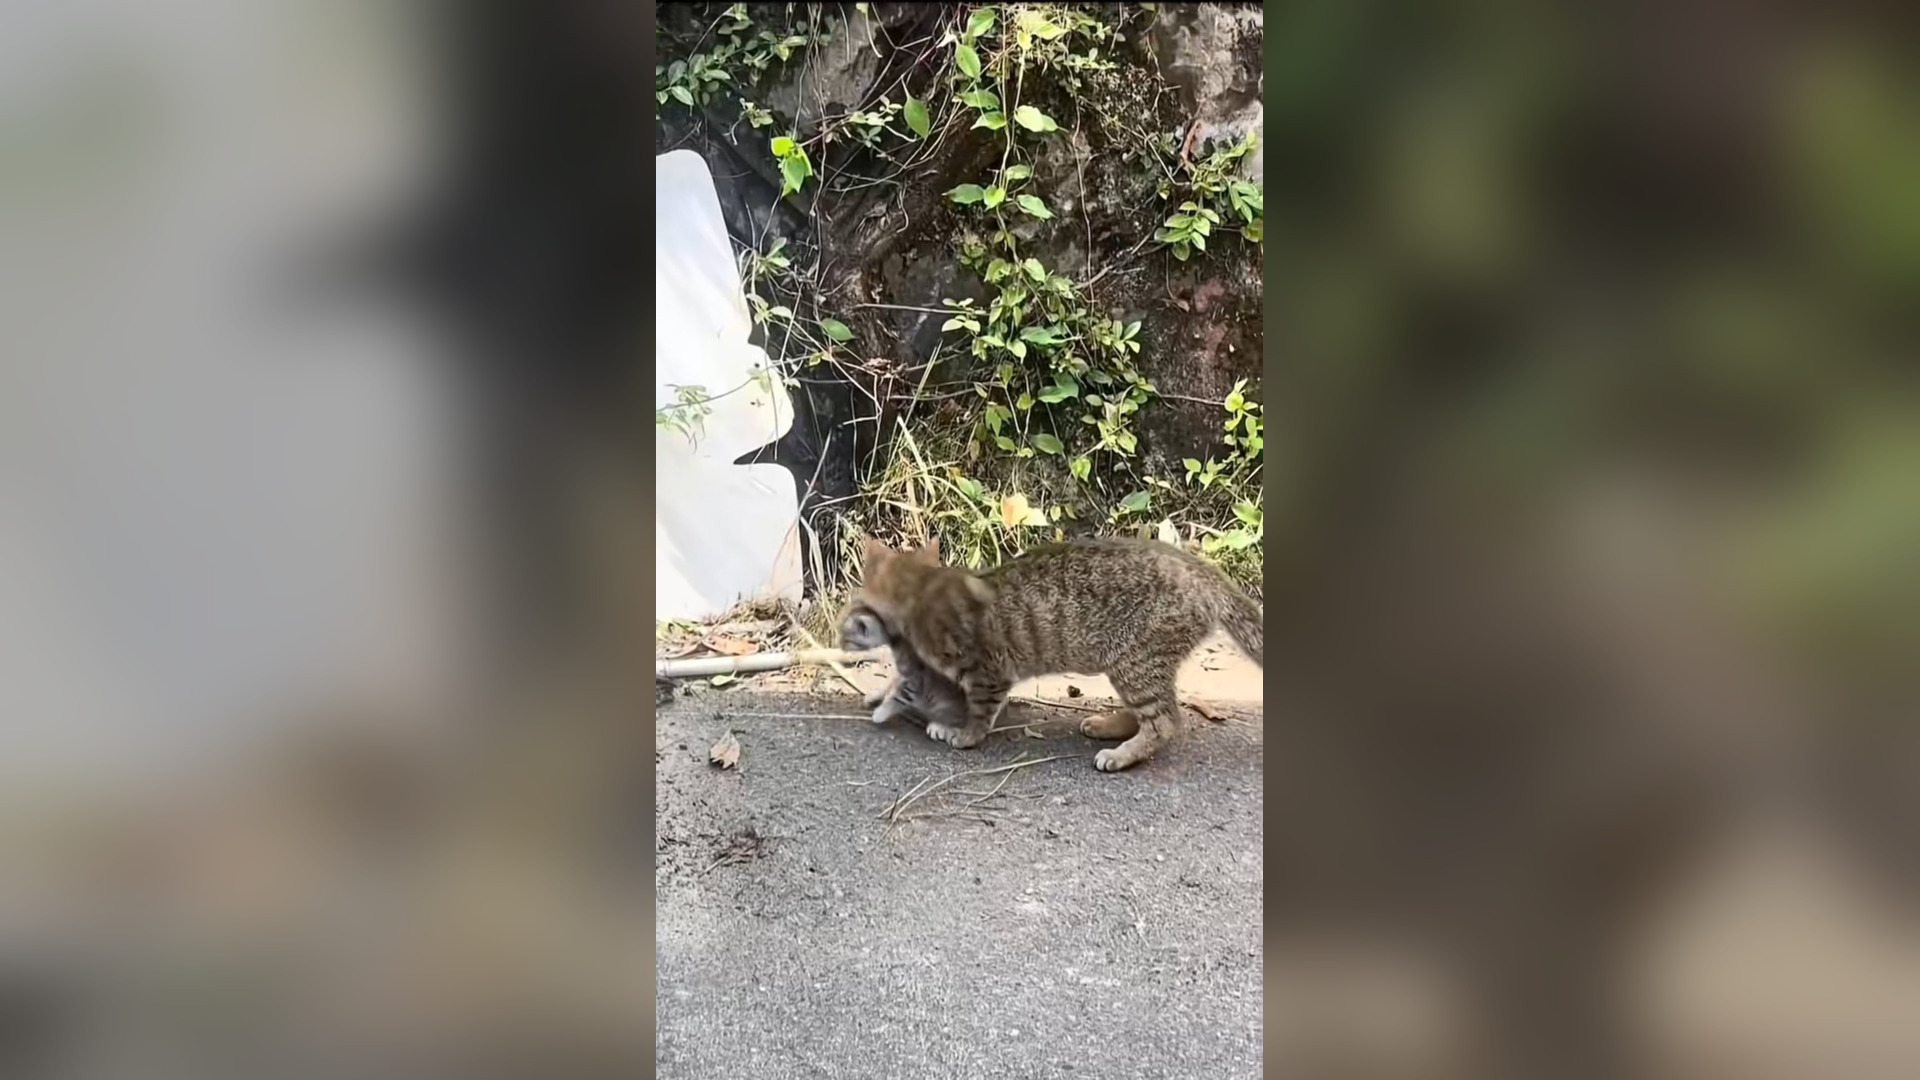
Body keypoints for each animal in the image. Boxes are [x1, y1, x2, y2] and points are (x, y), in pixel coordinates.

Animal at [844, 534, 1263, 771]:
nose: (843, 631)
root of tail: (1204, 571)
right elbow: (904, 679)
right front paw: (881, 693)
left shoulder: (987, 672)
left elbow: (979, 714)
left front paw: (962, 734)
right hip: (1130, 663)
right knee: (1148, 713)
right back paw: (1108, 725)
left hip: (1137, 661)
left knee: (1165, 721)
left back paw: (1122, 754)